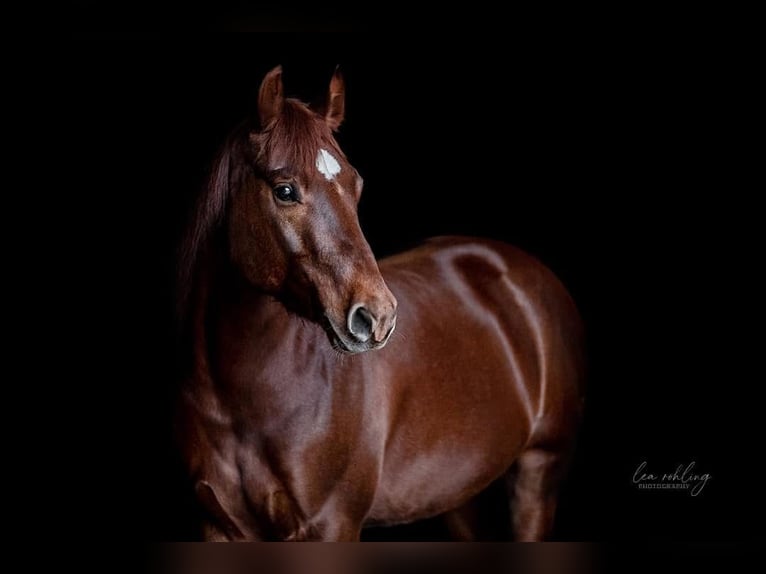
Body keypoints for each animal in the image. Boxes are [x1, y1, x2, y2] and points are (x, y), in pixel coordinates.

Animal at [175, 65, 585, 541]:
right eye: (285, 190)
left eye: (356, 184)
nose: (377, 316)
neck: (241, 400)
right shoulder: (218, 526)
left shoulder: (332, 525)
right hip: (461, 496)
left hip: (539, 474)